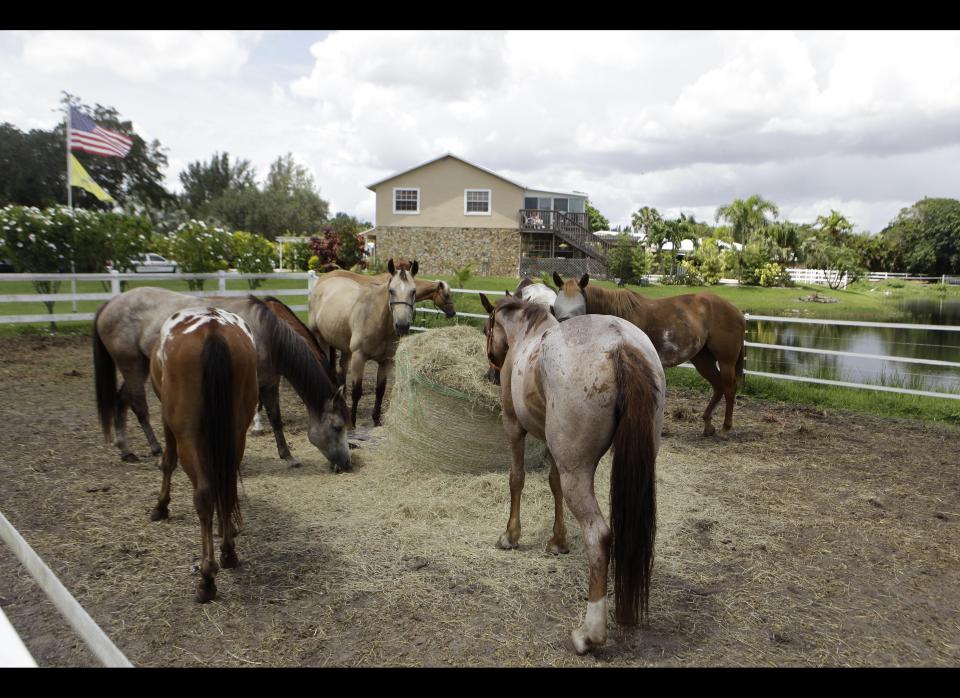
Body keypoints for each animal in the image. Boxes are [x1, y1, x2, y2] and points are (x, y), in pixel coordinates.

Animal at [91, 286, 348, 470]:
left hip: (140, 365)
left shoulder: (269, 383)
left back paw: (126, 450)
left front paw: (288, 456)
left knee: (122, 399)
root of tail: (110, 303)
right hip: (132, 364)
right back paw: (155, 450)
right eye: (337, 427)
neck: (265, 333)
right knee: (139, 405)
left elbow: (276, 418)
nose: (346, 464)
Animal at [147, 308, 258, 600]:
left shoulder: (167, 420)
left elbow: (168, 461)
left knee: (205, 494)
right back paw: (228, 552)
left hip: (187, 434)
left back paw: (207, 577)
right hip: (236, 432)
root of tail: (212, 330)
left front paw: (161, 506)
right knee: (226, 486)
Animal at [304, 258, 416, 426]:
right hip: (321, 340)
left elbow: (380, 390)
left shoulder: (386, 361)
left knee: (341, 372)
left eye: (413, 291)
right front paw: (352, 422)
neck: (375, 317)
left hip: (345, 348)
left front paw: (376, 419)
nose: (402, 325)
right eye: (391, 291)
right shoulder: (359, 357)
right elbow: (357, 392)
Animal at [478, 288, 664, 652]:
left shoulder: (513, 428)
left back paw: (589, 634)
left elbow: (517, 479)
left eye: (486, 329)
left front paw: (511, 535)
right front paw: (558, 541)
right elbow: (553, 485)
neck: (528, 335)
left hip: (577, 471)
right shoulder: (555, 452)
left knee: (599, 535)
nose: (491, 373)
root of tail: (620, 345)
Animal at [552, 272, 748, 436]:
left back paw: (726, 427)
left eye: (579, 307)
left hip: (726, 360)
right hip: (703, 359)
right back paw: (708, 425)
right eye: (556, 307)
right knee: (718, 386)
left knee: (729, 388)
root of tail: (737, 311)